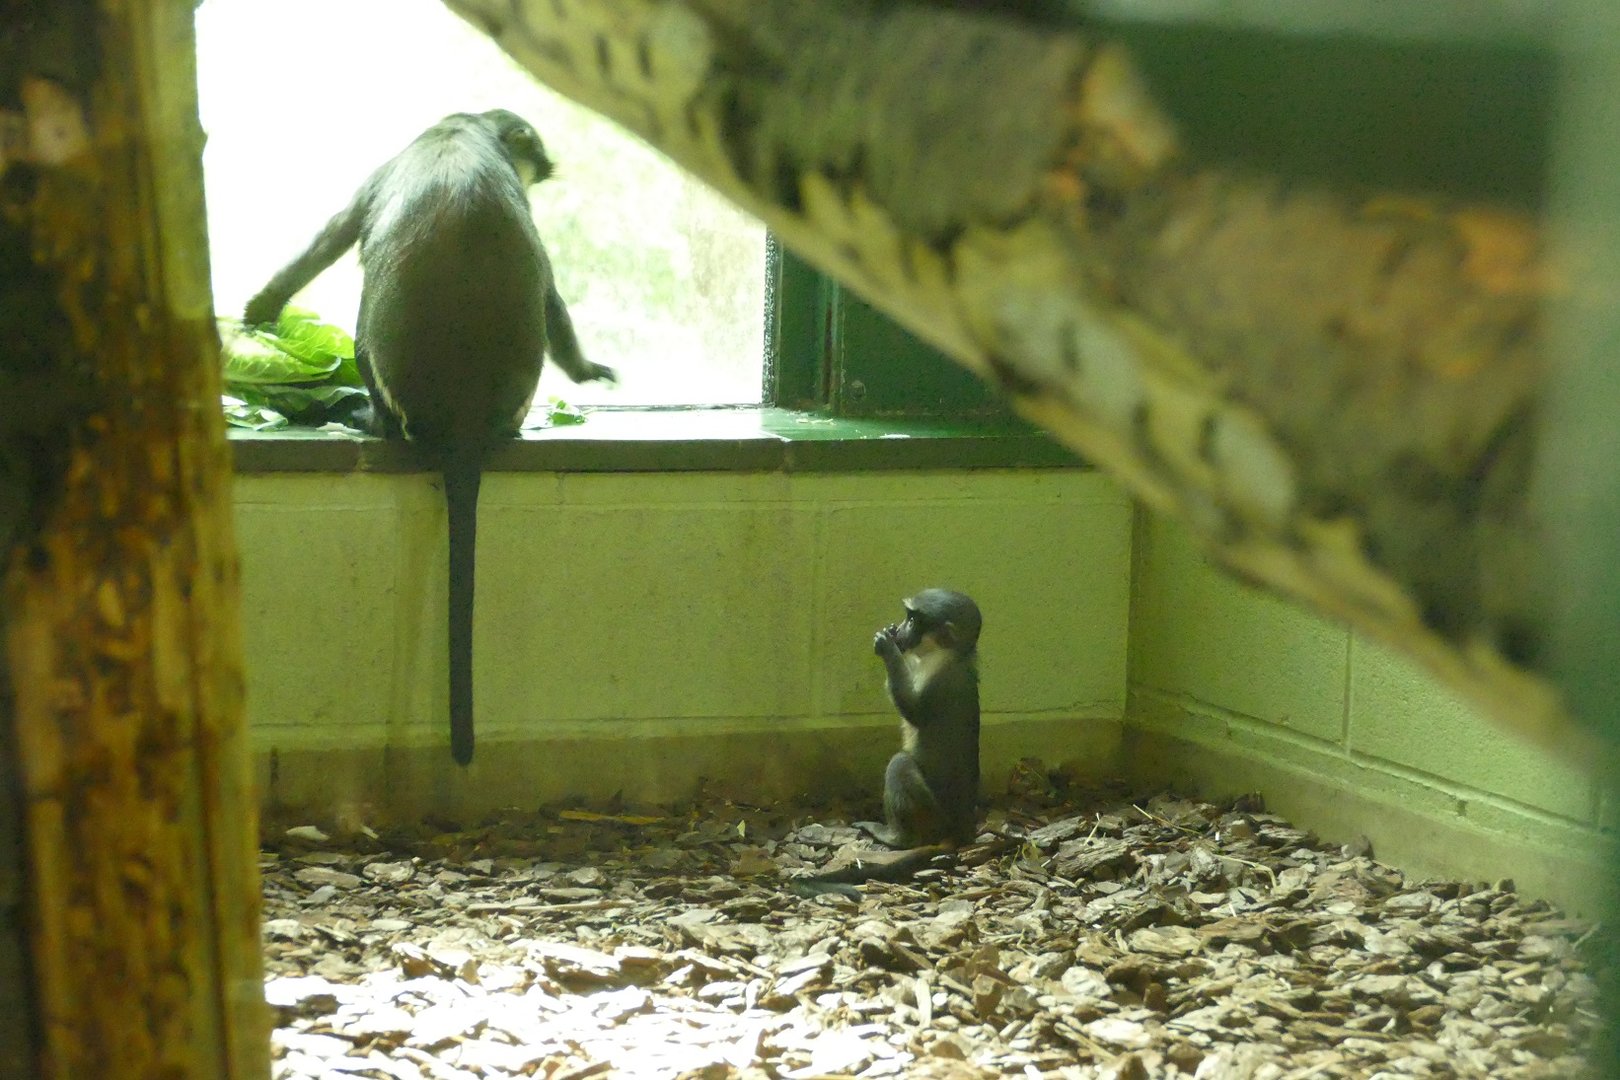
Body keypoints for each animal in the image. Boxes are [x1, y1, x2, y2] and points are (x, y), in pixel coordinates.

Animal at [242, 109, 615, 766]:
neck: (464, 127)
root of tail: (464, 422)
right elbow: (549, 295)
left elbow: (333, 235)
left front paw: (260, 310)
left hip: (390, 385)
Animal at [788, 588, 983, 896]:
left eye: (914, 619)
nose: (900, 629)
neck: (949, 654)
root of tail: (957, 829)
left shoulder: (940, 681)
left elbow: (914, 711)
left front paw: (888, 648)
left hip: (929, 811)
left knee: (900, 764)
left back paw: (895, 838)